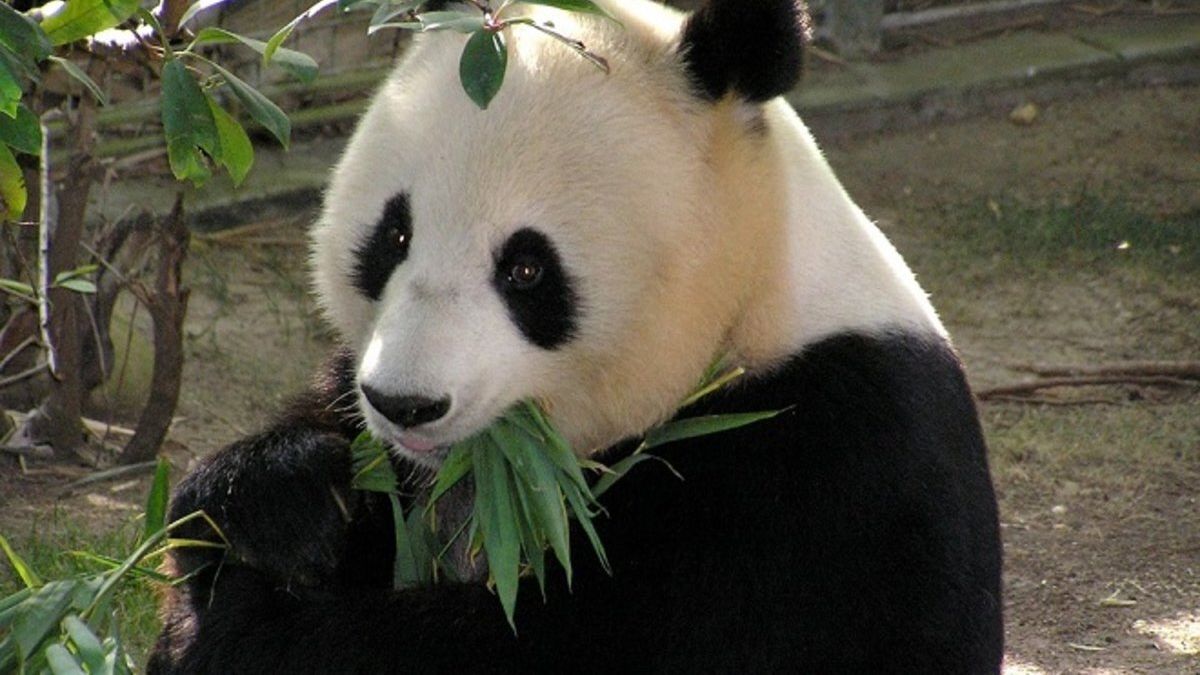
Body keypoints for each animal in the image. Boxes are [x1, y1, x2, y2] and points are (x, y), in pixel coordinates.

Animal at [148, 0, 1004, 672]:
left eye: (527, 269)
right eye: (394, 236)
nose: (407, 404)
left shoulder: (822, 463)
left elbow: (579, 640)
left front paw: (251, 629)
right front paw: (282, 501)